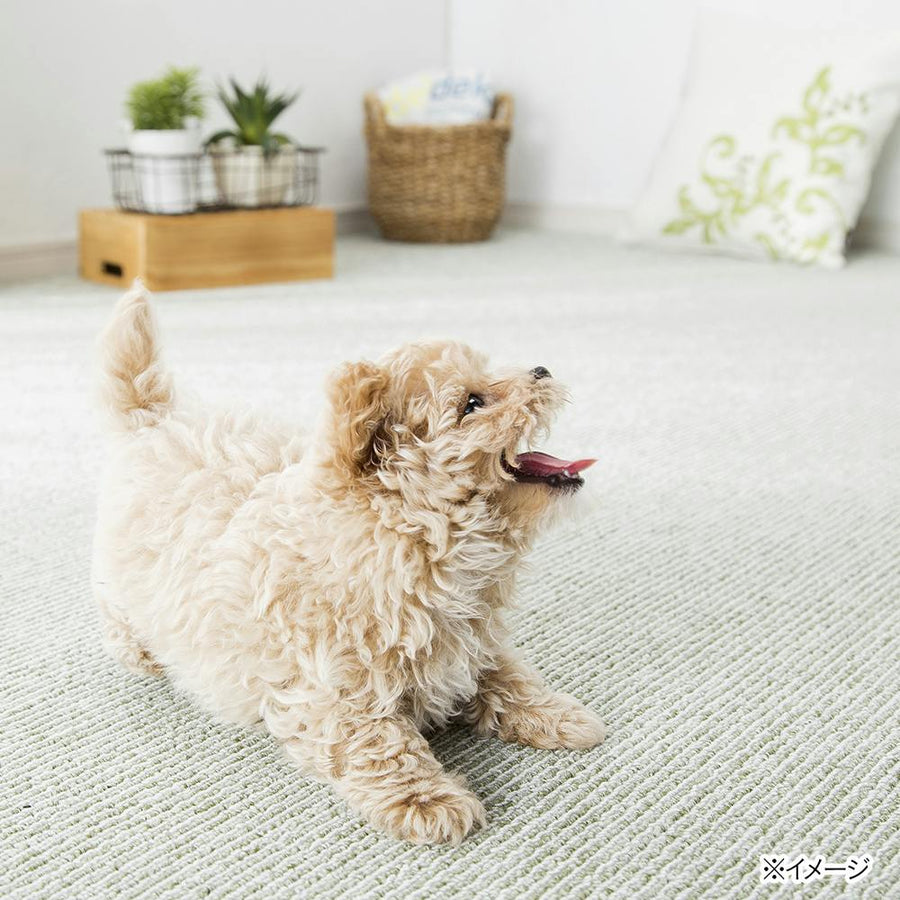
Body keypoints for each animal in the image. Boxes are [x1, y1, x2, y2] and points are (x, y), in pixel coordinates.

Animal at [93, 284, 604, 844]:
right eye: (472, 403)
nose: (542, 370)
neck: (418, 544)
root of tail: (154, 421)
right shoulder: (332, 692)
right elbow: (379, 745)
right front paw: (428, 801)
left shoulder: (472, 642)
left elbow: (507, 674)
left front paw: (555, 715)